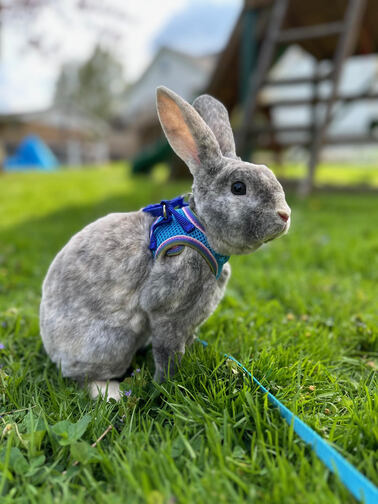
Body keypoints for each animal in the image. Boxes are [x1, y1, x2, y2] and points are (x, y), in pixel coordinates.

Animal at [39, 86, 290, 402]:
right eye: (238, 188)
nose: (285, 214)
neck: (200, 228)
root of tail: (52, 349)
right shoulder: (166, 309)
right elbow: (167, 351)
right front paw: (165, 385)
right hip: (112, 342)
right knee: (82, 377)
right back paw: (113, 393)